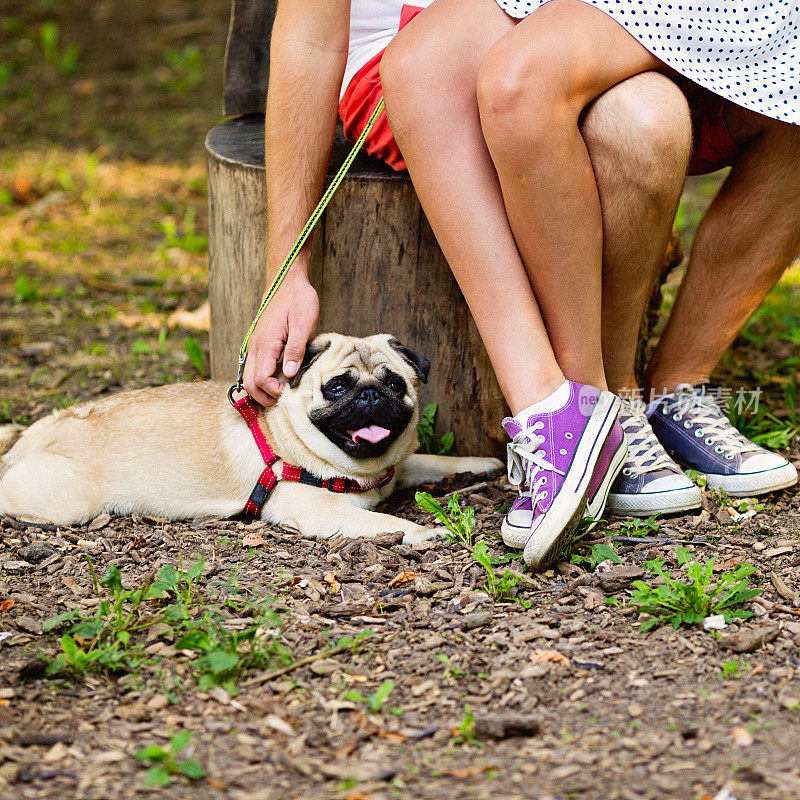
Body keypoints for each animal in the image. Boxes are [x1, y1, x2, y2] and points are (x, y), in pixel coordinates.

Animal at [0, 332, 500, 544]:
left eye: (395, 383)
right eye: (338, 387)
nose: (371, 395)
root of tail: (41, 430)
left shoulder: (399, 467)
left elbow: (428, 461)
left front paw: (480, 464)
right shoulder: (326, 513)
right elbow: (387, 523)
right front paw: (426, 532)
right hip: (62, 501)